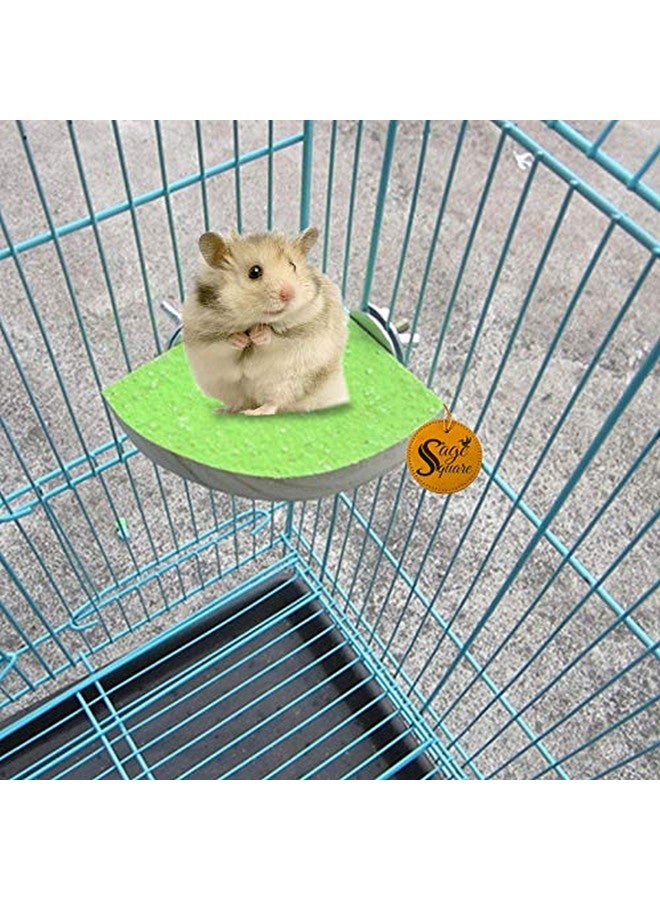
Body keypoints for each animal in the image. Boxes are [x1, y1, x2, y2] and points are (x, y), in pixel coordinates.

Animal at [181, 227, 349, 416]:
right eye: (254, 272)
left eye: (293, 266)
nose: (288, 294)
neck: (252, 321)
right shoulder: (203, 336)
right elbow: (223, 342)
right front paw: (241, 339)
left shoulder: (305, 328)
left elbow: (276, 338)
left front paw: (259, 335)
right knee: (240, 403)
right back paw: (224, 411)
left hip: (288, 382)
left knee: (274, 403)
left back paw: (255, 412)